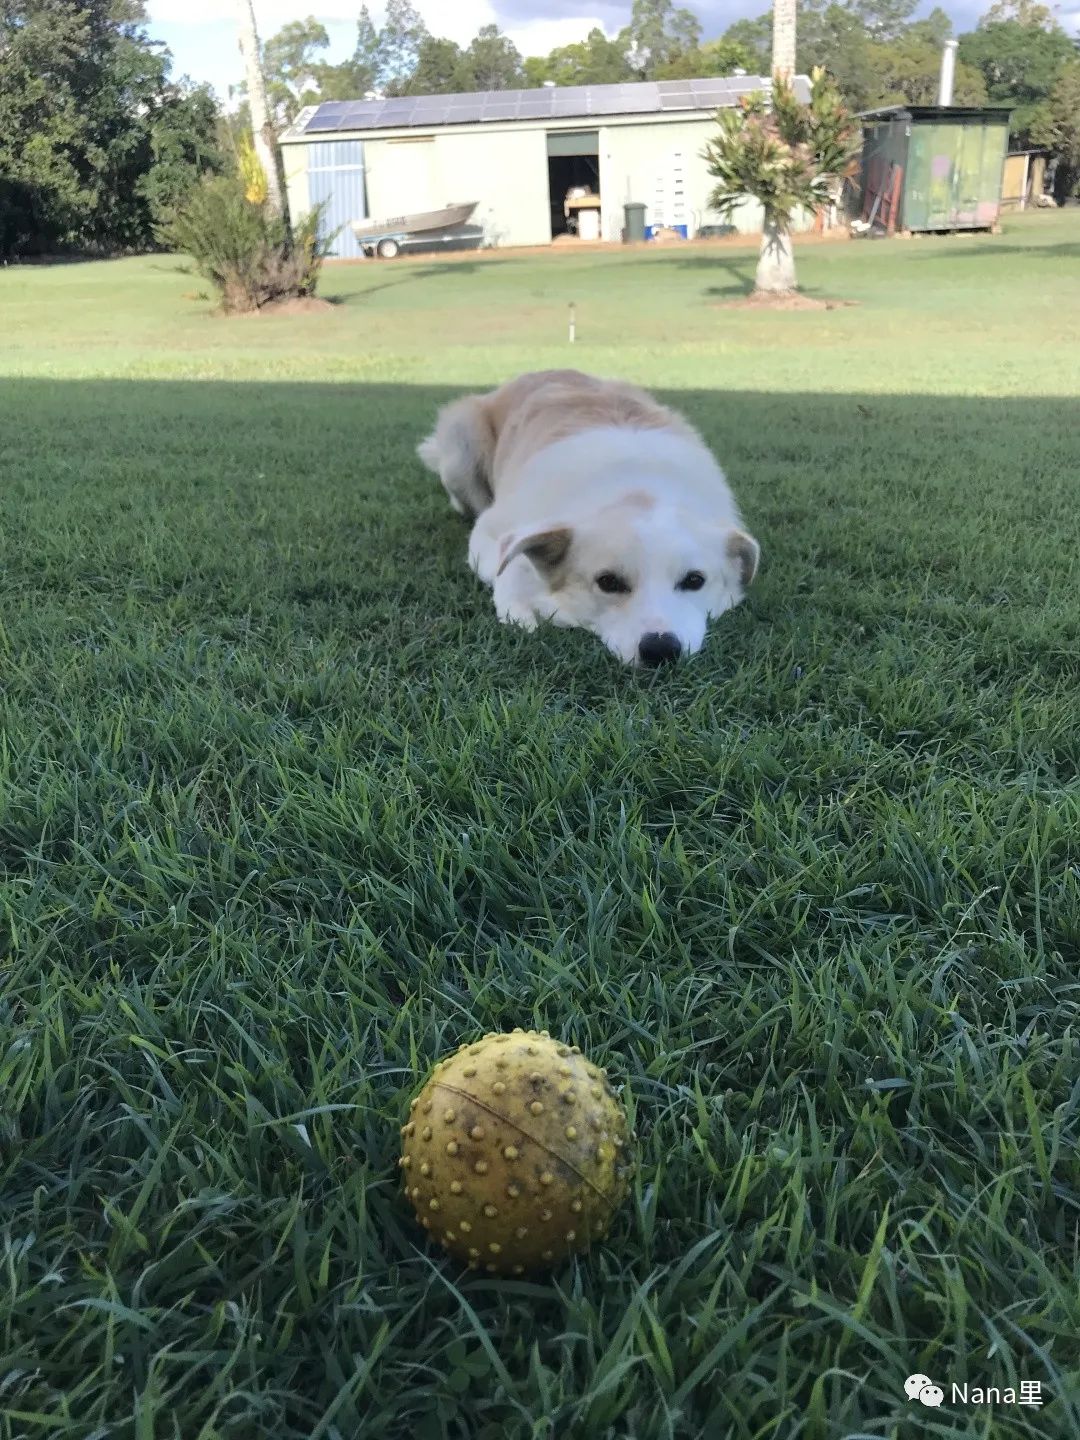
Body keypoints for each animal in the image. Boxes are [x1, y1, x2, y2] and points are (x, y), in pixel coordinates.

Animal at [417, 368, 760, 665]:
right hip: (461, 441)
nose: (661, 650)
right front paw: (523, 613)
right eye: (608, 582)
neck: (637, 487)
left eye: (694, 580)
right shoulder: (489, 532)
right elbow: (510, 566)